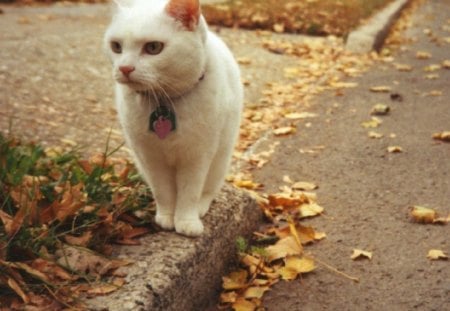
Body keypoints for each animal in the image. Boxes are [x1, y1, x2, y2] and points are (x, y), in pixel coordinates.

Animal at [103, 0, 243, 236]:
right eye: (116, 46)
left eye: (153, 47)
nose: (124, 68)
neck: (164, 102)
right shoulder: (150, 157)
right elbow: (163, 191)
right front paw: (167, 217)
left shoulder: (197, 156)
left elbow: (190, 192)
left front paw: (186, 221)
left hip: (220, 160)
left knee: (208, 190)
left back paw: (200, 208)